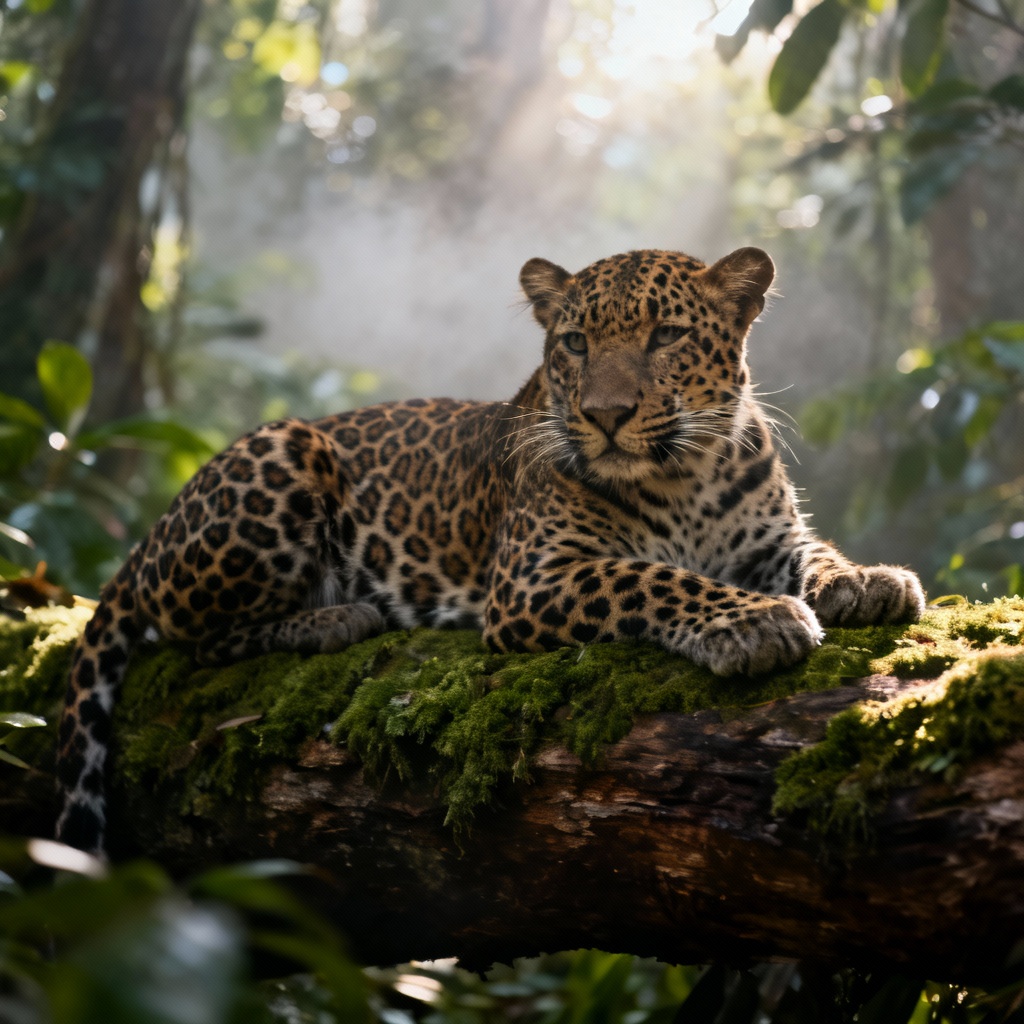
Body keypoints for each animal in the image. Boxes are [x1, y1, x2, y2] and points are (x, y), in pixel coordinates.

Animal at [55, 245, 925, 853]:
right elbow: (652, 576)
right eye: (574, 343)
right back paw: (333, 619)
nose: (606, 415)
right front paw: (750, 623)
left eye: (667, 335)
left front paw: (868, 580)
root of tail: (157, 524)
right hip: (284, 453)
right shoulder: (534, 580)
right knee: (192, 639)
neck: (686, 476)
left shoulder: (770, 539)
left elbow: (817, 554)